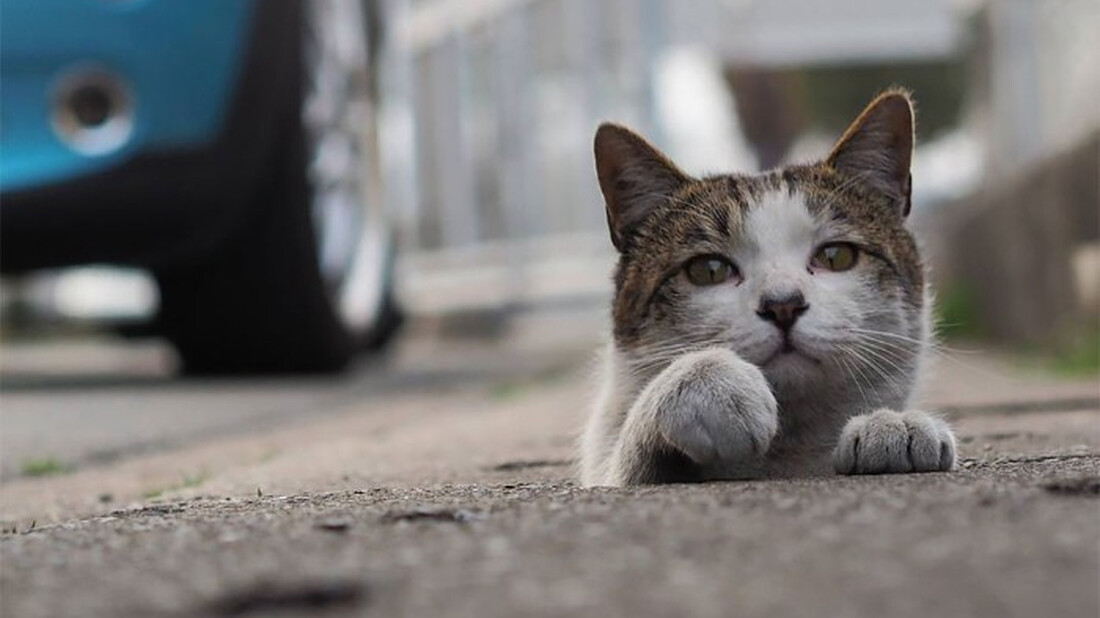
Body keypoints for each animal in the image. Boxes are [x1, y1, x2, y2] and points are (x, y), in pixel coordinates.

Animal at [580, 90, 959, 486]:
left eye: (836, 256)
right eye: (709, 270)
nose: (783, 305)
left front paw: (893, 424)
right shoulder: (612, 476)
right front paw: (713, 384)